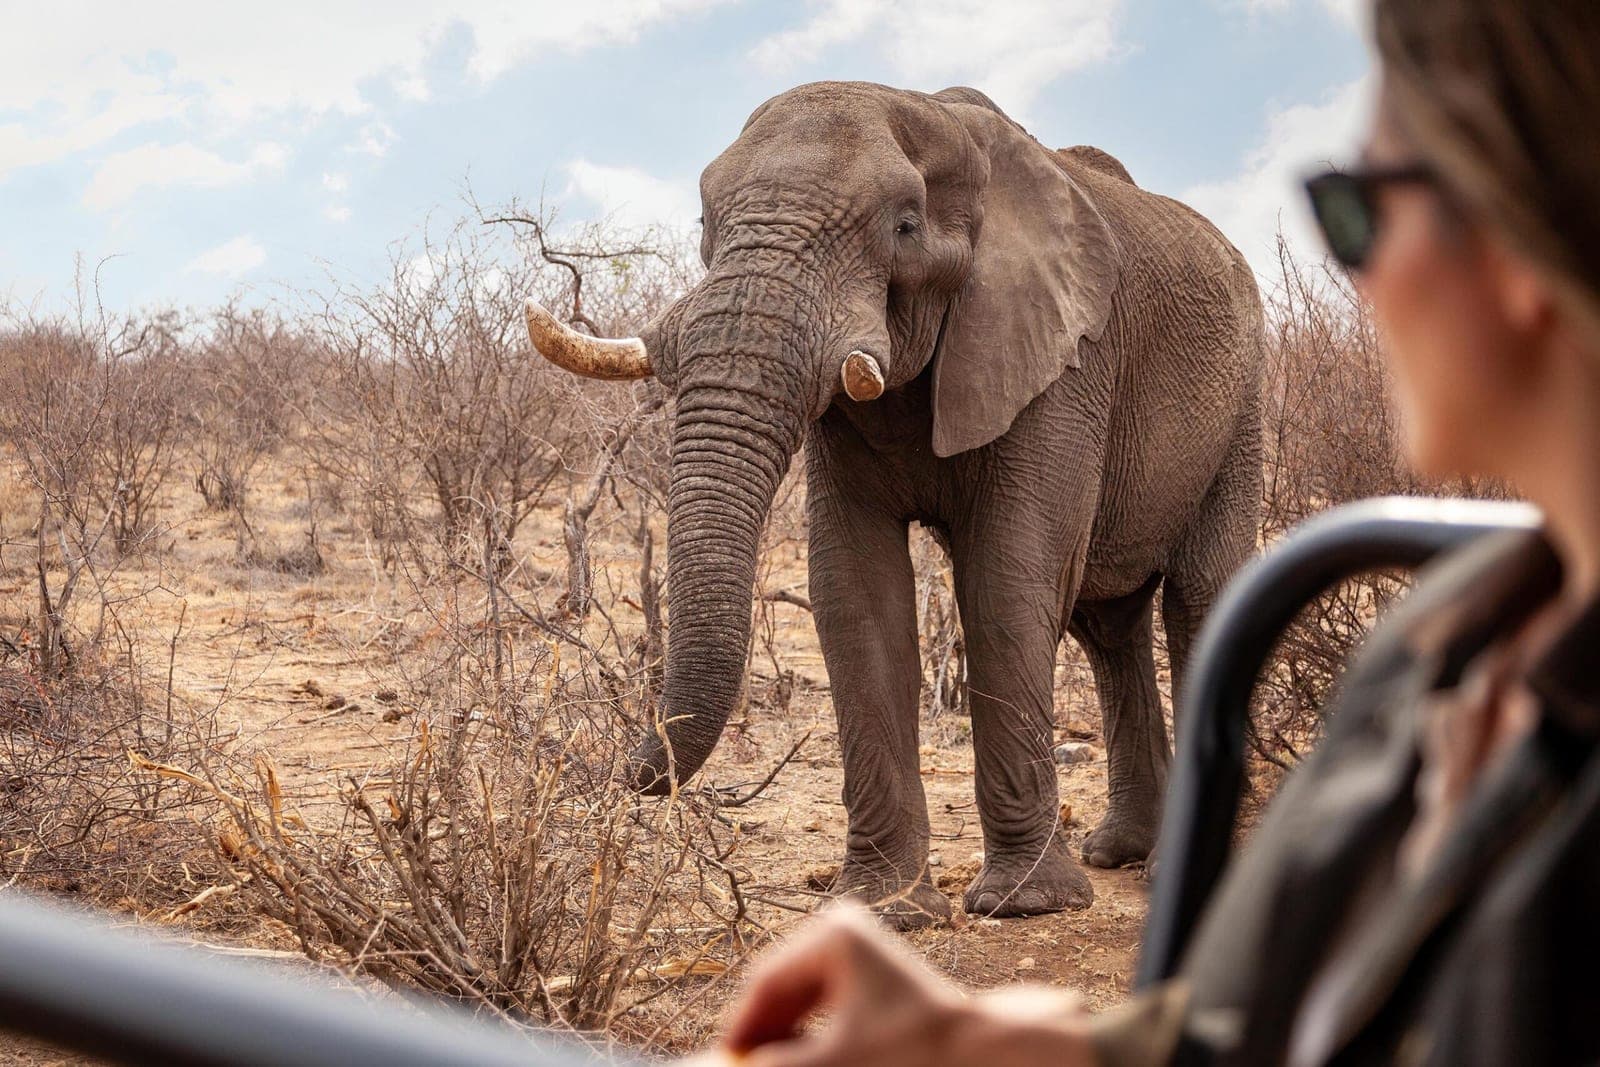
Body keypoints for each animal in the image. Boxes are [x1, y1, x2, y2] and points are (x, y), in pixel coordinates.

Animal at [525, 81, 1264, 926]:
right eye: (705, 225)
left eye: (904, 227)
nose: (622, 769)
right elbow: (854, 592)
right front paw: (889, 909)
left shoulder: (1065, 361)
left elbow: (1006, 581)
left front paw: (1023, 904)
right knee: (1105, 623)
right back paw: (1122, 852)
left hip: (1242, 400)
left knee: (1199, 596)